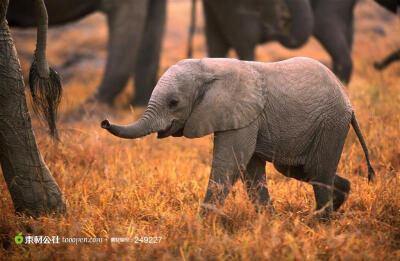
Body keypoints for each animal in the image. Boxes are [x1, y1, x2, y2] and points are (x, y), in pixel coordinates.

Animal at [101, 57, 376, 217]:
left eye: (173, 102)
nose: (104, 121)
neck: (208, 68)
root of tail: (348, 101)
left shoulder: (243, 113)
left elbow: (230, 163)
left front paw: (200, 227)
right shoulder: (246, 117)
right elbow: (250, 170)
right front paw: (270, 222)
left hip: (331, 123)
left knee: (318, 173)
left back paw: (318, 221)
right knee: (304, 171)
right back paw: (335, 204)